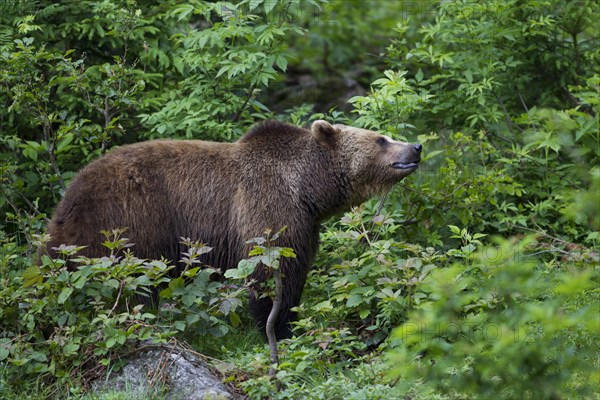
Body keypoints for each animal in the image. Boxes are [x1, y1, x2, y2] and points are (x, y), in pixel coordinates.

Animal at [44, 120, 422, 340]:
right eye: (381, 139)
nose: (416, 146)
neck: (307, 188)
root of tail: (66, 204)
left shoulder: (305, 223)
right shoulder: (266, 207)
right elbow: (271, 270)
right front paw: (277, 328)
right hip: (127, 223)